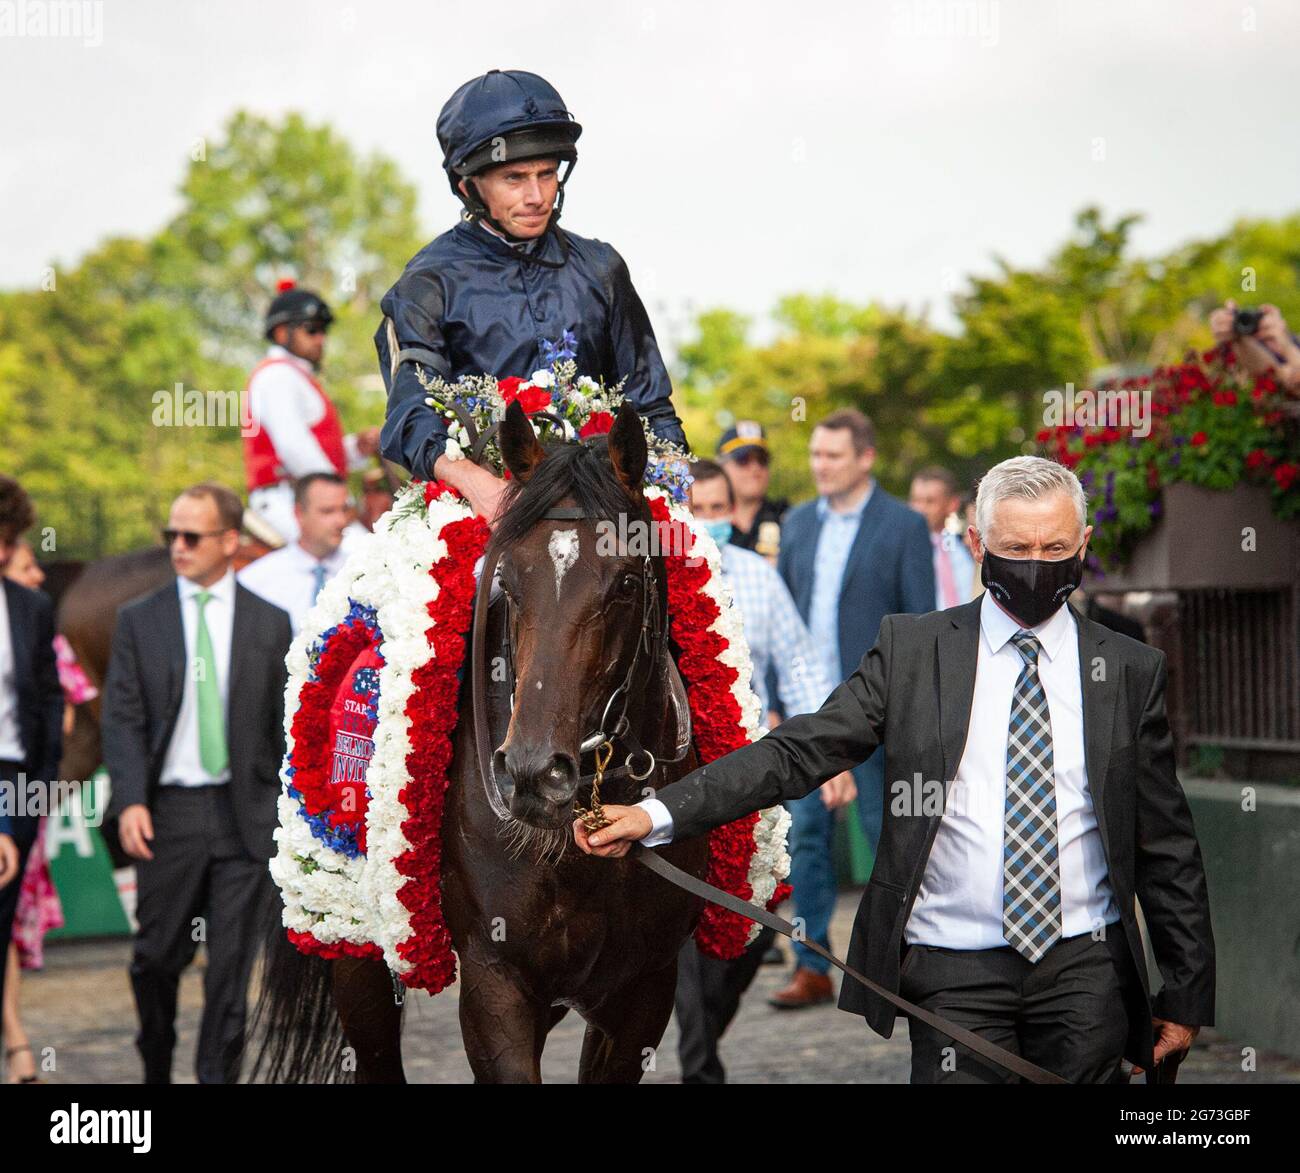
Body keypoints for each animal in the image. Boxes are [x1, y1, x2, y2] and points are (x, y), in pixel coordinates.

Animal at [254, 400, 717, 1081]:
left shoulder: (644, 987)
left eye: (628, 583)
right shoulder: (495, 981)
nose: (532, 773)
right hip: (357, 953)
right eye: (509, 579)